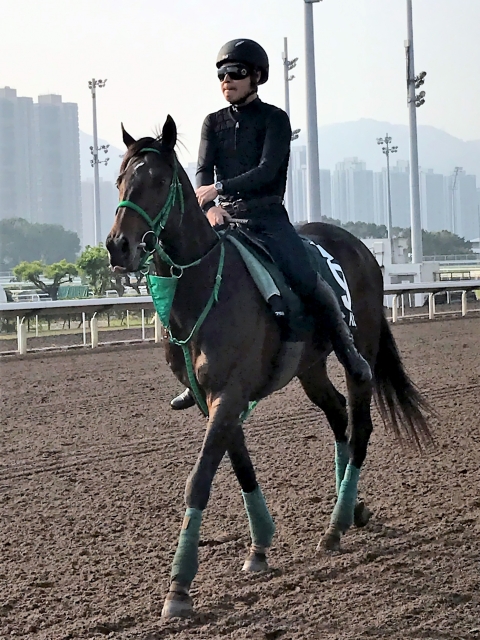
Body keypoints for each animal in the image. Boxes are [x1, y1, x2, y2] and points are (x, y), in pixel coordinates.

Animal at [107, 115, 434, 620]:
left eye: (158, 181)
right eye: (121, 179)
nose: (118, 246)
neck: (202, 290)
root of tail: (363, 250)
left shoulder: (229, 394)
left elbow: (199, 479)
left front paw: (179, 587)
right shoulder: (212, 399)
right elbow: (240, 466)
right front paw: (259, 546)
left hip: (358, 352)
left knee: (359, 422)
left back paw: (337, 524)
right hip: (310, 367)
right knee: (337, 416)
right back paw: (353, 509)